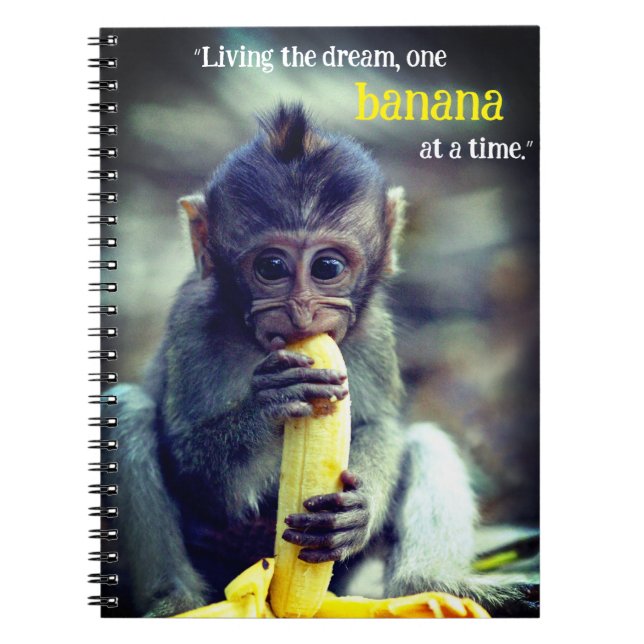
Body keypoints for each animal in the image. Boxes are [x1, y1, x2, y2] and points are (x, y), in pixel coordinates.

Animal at [105, 104, 518, 617]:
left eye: (327, 267)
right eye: (271, 267)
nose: (301, 312)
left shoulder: (374, 331)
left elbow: (379, 427)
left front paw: (358, 510)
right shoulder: (192, 322)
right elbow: (192, 464)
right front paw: (270, 404)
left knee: (425, 440)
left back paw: (431, 585)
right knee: (127, 409)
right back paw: (175, 599)